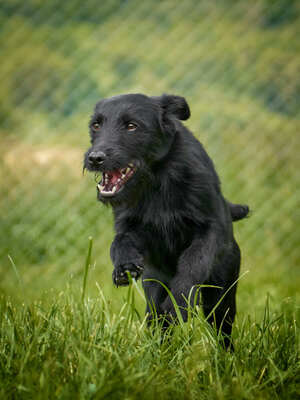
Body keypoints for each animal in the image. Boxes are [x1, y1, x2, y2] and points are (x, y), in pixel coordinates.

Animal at [84, 94, 248, 346]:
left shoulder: (209, 229)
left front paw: (179, 303)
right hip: (154, 289)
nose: (95, 158)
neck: (157, 181)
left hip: (221, 294)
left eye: (131, 126)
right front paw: (124, 266)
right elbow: (118, 241)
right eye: (96, 125)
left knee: (221, 327)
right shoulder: (134, 228)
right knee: (159, 322)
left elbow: (193, 261)